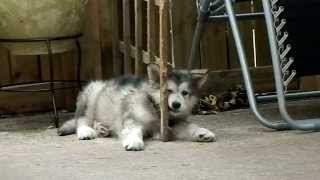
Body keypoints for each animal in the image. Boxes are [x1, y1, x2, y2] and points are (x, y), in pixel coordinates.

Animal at [58, 63, 216, 150]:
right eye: (168, 91)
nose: (176, 105)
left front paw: (202, 132)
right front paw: (134, 141)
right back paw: (87, 131)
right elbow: (133, 129)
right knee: (82, 119)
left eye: (185, 93)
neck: (156, 109)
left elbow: (189, 125)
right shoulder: (132, 116)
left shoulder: (173, 122)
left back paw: (102, 129)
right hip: (92, 93)